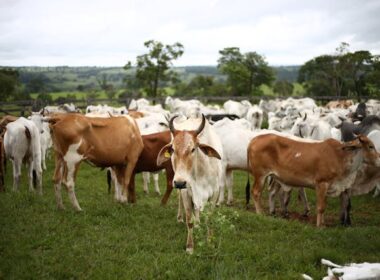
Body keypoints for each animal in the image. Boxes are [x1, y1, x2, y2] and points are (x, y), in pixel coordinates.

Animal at [157, 115, 224, 253]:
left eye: (193, 149)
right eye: (173, 149)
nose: (179, 182)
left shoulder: (215, 192)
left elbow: (209, 219)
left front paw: (209, 241)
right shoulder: (186, 191)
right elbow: (189, 220)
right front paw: (189, 247)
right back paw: (180, 218)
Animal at [246, 133, 380, 228]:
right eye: (371, 146)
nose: (379, 160)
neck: (341, 157)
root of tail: (254, 139)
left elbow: (324, 205)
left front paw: (324, 223)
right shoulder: (321, 184)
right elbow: (321, 207)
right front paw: (319, 226)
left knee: (269, 192)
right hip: (260, 175)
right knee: (256, 192)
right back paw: (260, 213)